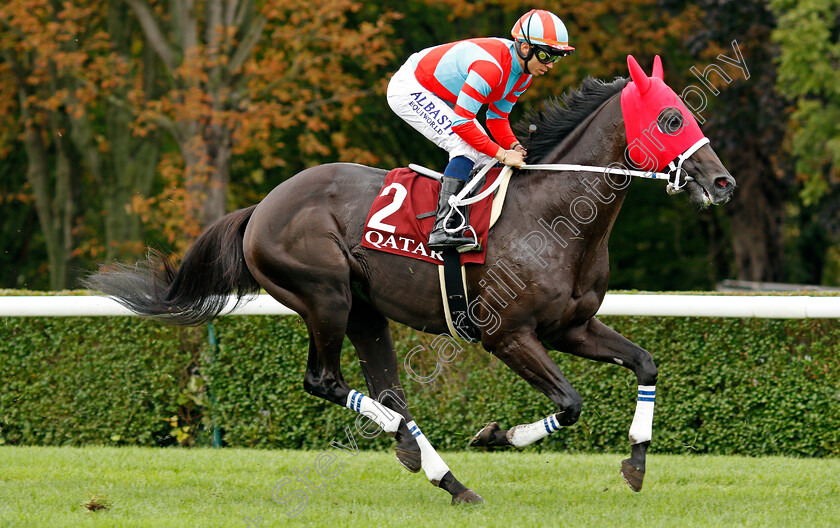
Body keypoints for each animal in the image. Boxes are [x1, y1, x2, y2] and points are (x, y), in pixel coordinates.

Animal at [87, 56, 736, 504]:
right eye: (671, 118)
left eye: (691, 115)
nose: (723, 182)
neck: (553, 215)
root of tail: (261, 208)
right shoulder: (506, 335)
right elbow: (571, 403)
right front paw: (493, 435)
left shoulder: (570, 326)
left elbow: (646, 364)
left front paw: (636, 465)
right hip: (325, 295)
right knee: (326, 381)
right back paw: (428, 459)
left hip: (365, 311)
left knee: (388, 391)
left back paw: (441, 474)